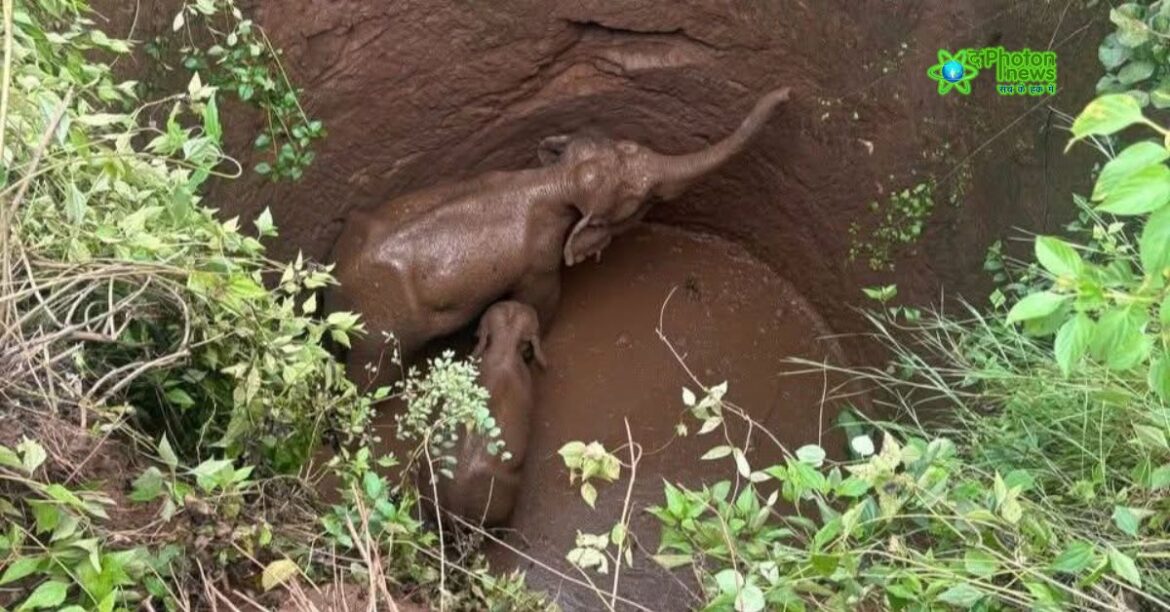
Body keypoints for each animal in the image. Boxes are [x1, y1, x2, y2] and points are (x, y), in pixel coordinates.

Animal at [326, 86, 790, 388]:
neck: (553, 179)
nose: (786, 94)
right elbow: (542, 303)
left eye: (630, 144)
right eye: (639, 198)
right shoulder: (538, 260)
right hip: (381, 333)